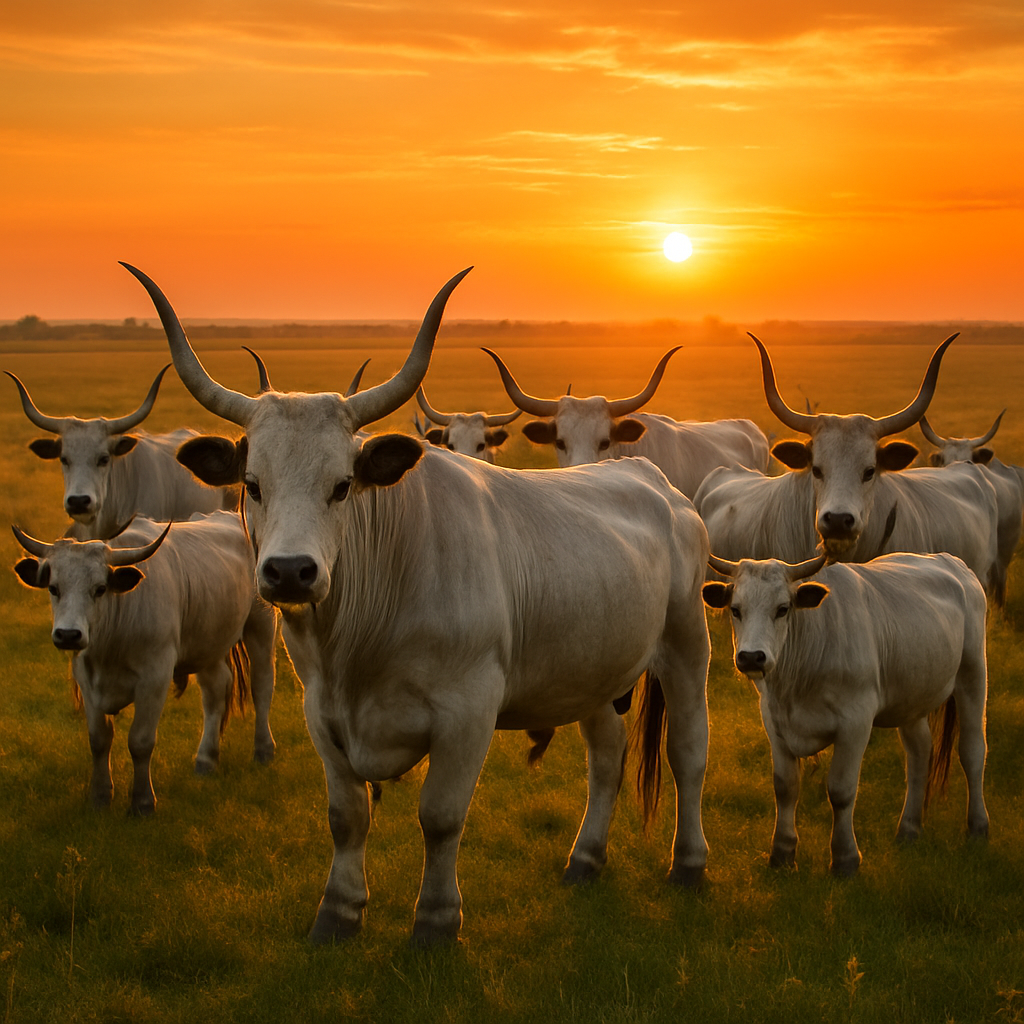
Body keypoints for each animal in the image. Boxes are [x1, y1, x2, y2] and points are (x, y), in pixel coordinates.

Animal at [12, 511, 278, 815]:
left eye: (100, 589)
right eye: (54, 588)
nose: (68, 635)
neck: (109, 644)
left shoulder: (155, 677)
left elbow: (140, 741)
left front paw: (142, 802)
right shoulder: (86, 679)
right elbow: (99, 739)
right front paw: (99, 796)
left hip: (261, 624)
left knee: (262, 685)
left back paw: (263, 749)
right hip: (208, 641)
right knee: (215, 692)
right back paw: (206, 759)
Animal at [123, 261, 713, 946]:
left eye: (342, 486)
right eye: (251, 485)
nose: (291, 572)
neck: (359, 640)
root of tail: (654, 481)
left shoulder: (468, 712)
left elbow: (440, 816)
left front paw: (435, 920)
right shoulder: (322, 713)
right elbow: (347, 815)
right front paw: (338, 912)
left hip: (686, 646)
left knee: (688, 751)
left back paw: (688, 864)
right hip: (590, 669)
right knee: (608, 756)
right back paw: (585, 859)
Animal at [702, 551, 989, 875]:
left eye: (783, 609)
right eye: (736, 610)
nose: (751, 657)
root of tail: (950, 561)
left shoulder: (856, 722)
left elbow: (840, 790)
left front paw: (845, 859)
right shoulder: (774, 721)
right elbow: (785, 787)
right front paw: (782, 853)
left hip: (973, 672)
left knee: (973, 751)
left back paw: (978, 827)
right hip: (912, 696)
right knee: (918, 755)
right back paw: (908, 829)